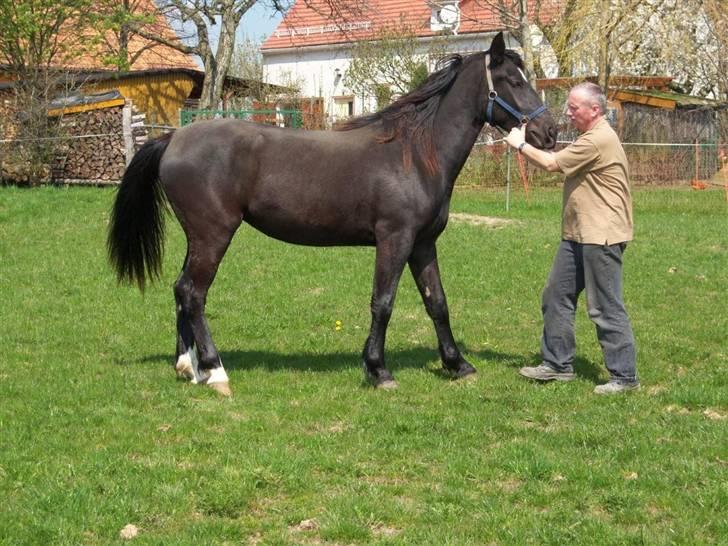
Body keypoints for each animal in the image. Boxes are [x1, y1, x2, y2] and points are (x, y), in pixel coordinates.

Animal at [108, 31, 556, 394]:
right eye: (514, 81)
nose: (548, 132)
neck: (415, 154)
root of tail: (174, 139)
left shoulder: (422, 244)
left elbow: (437, 302)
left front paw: (457, 364)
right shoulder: (394, 239)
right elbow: (383, 302)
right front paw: (378, 371)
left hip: (199, 237)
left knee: (180, 290)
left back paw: (189, 367)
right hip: (214, 234)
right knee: (194, 293)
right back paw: (215, 372)